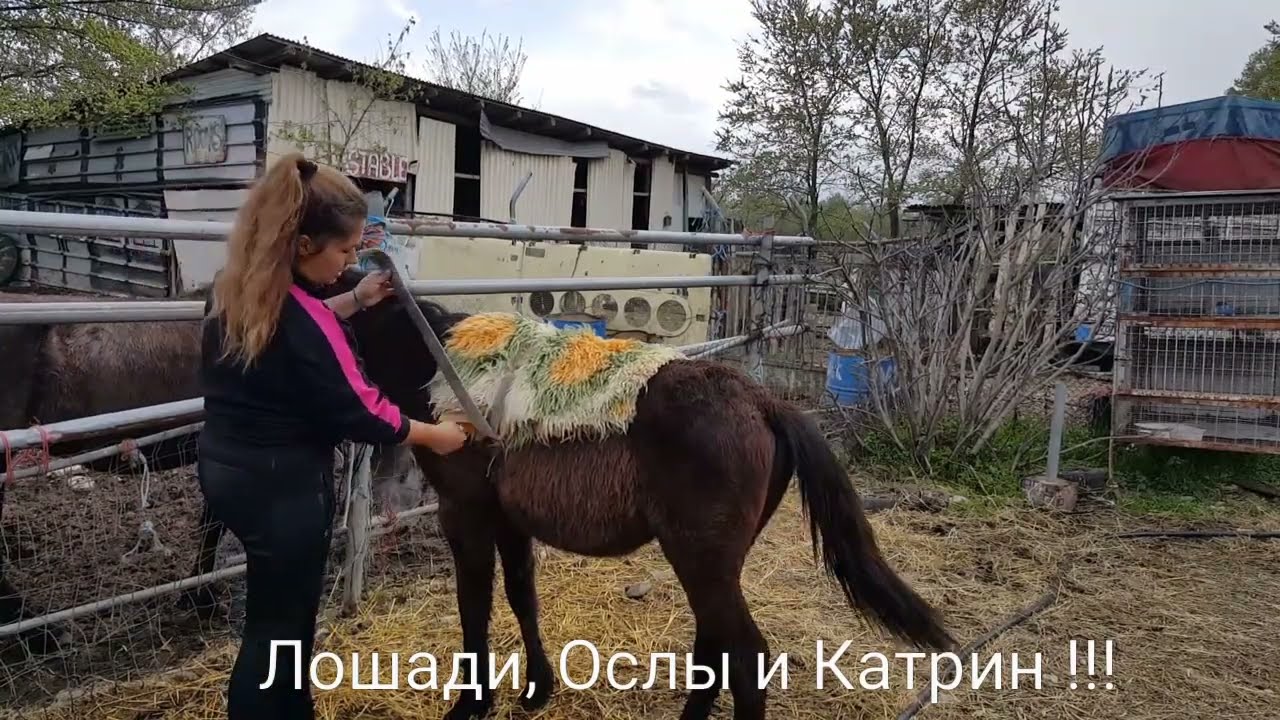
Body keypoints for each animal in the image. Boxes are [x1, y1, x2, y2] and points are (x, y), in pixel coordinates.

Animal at [197, 267, 954, 720]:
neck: (442, 366)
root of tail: (762, 401)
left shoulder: (465, 517)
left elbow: (475, 609)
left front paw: (473, 703)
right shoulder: (509, 520)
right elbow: (521, 597)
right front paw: (537, 689)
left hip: (701, 559)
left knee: (743, 656)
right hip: (711, 563)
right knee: (715, 647)